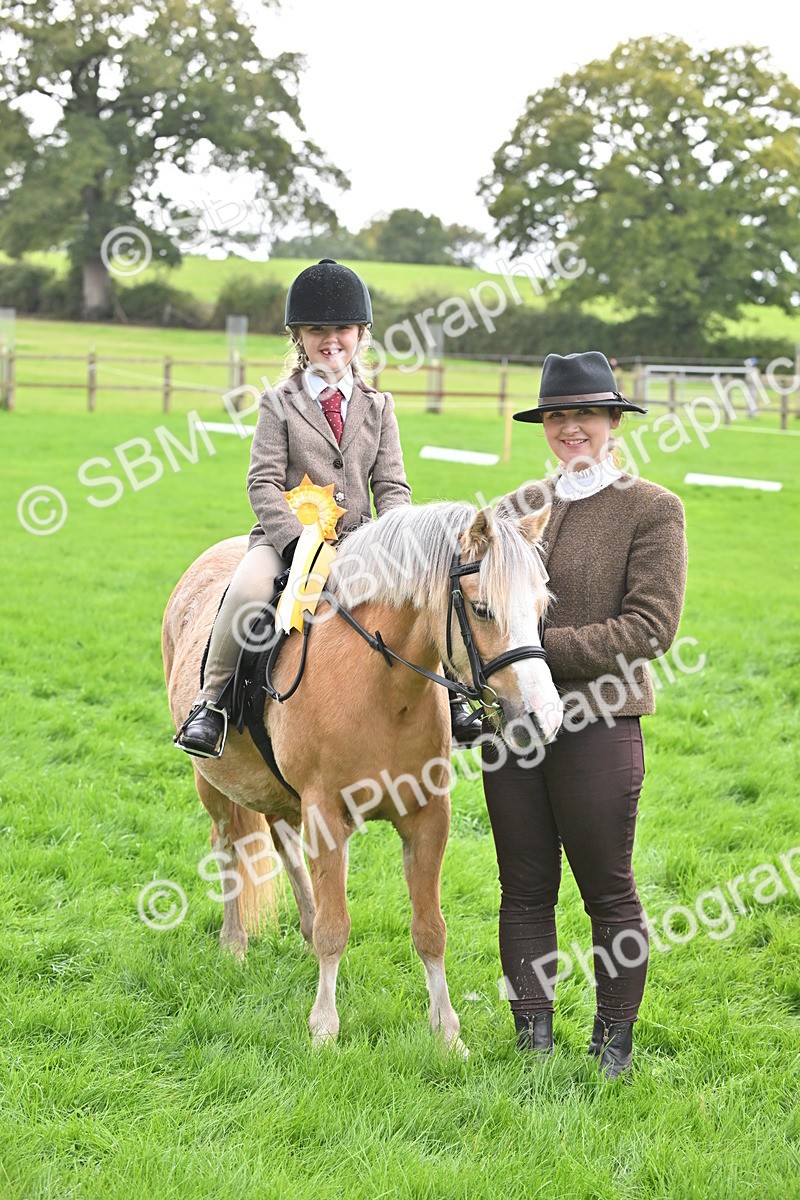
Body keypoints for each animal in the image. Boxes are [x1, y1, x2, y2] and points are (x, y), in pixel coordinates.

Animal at [161, 501, 563, 1053]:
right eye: (482, 610)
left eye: (542, 607)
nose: (545, 718)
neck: (381, 686)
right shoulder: (326, 814)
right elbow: (336, 928)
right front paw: (324, 1029)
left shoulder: (427, 818)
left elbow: (430, 929)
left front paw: (447, 1034)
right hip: (215, 785)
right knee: (228, 849)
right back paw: (235, 944)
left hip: (281, 795)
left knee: (284, 847)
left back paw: (302, 932)